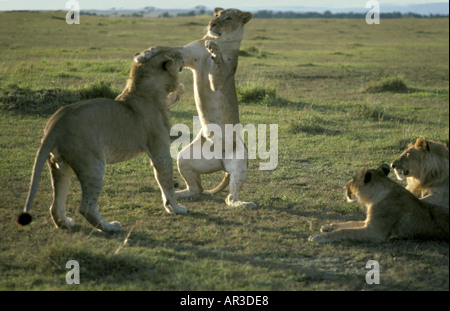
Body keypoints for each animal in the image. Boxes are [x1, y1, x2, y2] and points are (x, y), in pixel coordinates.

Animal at [16, 45, 186, 232]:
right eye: (175, 53)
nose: (183, 52)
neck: (142, 89)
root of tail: (54, 124)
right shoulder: (159, 149)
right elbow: (166, 181)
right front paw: (176, 208)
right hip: (93, 163)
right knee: (86, 207)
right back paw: (110, 227)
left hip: (59, 165)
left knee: (55, 205)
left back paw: (66, 223)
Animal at [310, 165, 450, 245]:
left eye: (352, 179)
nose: (344, 187)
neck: (371, 199)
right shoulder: (368, 222)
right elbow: (348, 223)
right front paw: (327, 226)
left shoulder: (375, 232)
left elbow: (344, 231)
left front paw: (318, 236)